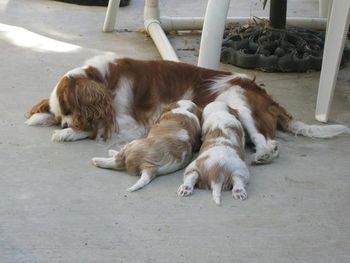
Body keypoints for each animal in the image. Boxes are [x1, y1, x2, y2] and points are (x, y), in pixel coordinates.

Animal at [25, 54, 350, 164]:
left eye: (74, 112)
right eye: (63, 114)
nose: (66, 124)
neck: (103, 79)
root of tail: (269, 98)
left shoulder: (133, 124)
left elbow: (97, 129)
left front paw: (69, 133)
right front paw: (42, 116)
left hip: (238, 99)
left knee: (268, 141)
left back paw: (263, 154)